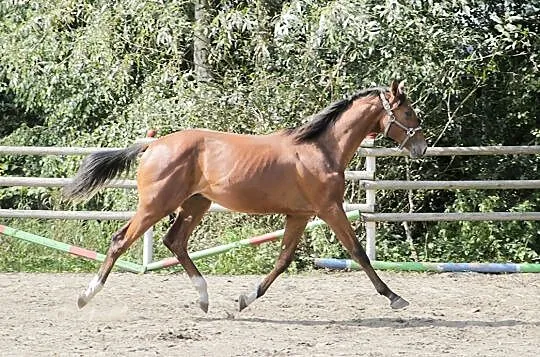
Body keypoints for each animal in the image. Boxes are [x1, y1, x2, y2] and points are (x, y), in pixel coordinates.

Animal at [65, 80, 426, 312]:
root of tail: (153, 144)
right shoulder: (329, 209)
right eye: (408, 113)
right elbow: (358, 253)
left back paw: (204, 299)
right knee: (120, 240)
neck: (320, 149)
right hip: (156, 205)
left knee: (175, 241)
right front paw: (395, 297)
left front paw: (243, 300)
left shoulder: (300, 215)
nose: (422, 148)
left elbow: (283, 260)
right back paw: (85, 296)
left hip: (196, 203)